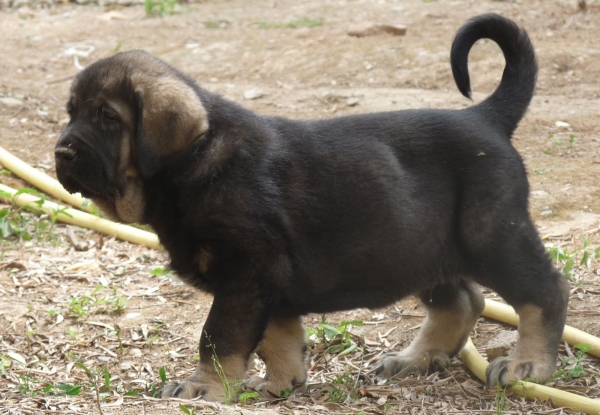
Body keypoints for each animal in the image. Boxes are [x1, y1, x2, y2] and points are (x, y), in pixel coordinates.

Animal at [55, 14, 568, 402]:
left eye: (107, 117)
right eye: (71, 111)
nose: (61, 152)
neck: (192, 162)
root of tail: (485, 117)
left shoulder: (246, 270)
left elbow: (219, 336)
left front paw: (205, 388)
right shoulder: (265, 280)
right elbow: (274, 337)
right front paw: (280, 383)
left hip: (489, 234)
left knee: (544, 290)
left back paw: (528, 364)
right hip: (419, 246)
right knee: (461, 300)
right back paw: (414, 359)